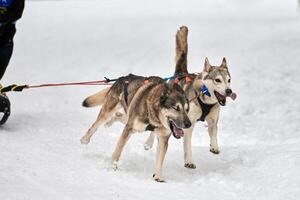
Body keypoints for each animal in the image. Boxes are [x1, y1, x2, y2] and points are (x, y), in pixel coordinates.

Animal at [144, 25, 237, 168]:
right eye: (217, 80)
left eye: (229, 80)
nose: (228, 91)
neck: (205, 99)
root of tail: (180, 73)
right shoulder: (189, 124)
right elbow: (187, 145)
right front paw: (189, 161)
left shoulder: (213, 120)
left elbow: (214, 133)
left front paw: (214, 146)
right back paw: (148, 143)